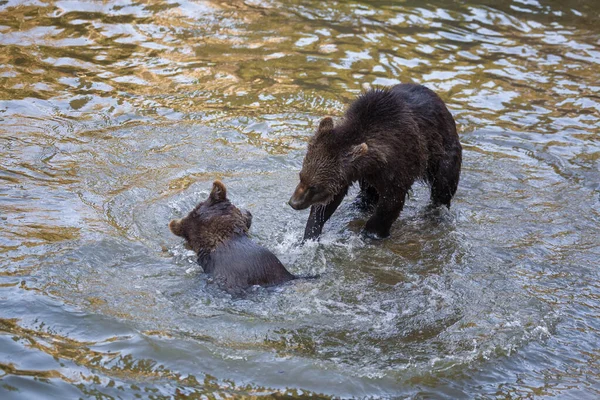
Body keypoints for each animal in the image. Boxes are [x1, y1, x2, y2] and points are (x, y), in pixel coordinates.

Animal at [288, 83, 462, 241]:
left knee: (443, 185)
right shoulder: (351, 173)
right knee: (368, 192)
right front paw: (311, 232)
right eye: (301, 176)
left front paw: (370, 233)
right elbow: (329, 202)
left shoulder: (400, 162)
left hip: (443, 152)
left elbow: (391, 202)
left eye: (315, 186)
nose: (294, 203)